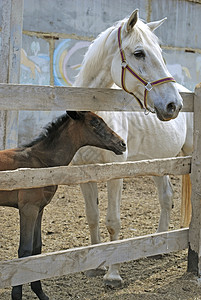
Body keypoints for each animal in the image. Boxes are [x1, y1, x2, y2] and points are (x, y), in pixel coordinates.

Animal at [71, 9, 186, 286]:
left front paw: (113, 275)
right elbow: (93, 217)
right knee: (166, 197)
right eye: (139, 53)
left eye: (161, 54)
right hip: (158, 164)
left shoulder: (115, 172)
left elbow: (113, 221)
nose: (173, 105)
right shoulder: (84, 173)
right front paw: (94, 266)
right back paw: (159, 247)